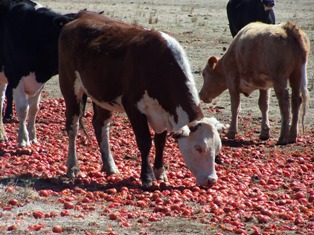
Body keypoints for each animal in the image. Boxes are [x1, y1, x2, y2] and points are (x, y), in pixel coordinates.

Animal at [0, 0, 75, 146]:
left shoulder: (40, 81)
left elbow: (34, 108)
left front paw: (33, 136)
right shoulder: (15, 76)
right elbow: (23, 108)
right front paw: (23, 139)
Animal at [57, 10, 227, 187]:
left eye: (217, 149)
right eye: (198, 148)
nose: (211, 180)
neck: (157, 64)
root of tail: (81, 15)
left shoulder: (163, 113)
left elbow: (160, 142)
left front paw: (160, 172)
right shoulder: (133, 107)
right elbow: (145, 141)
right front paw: (147, 177)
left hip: (102, 95)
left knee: (101, 126)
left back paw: (110, 166)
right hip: (70, 86)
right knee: (73, 125)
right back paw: (73, 167)